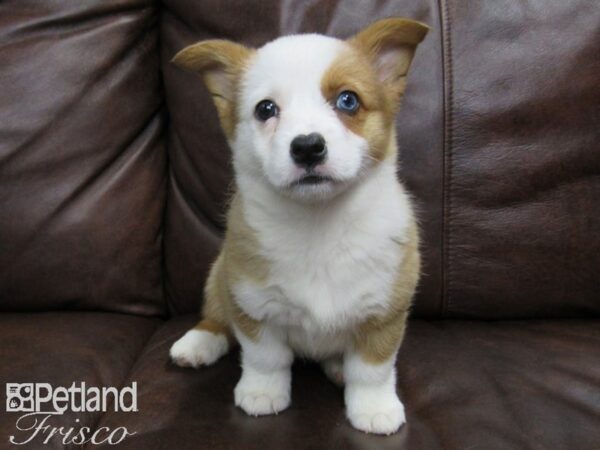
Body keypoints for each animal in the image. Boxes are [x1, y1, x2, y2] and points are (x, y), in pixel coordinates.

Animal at [170, 18, 426, 436]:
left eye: (348, 100)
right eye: (265, 109)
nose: (307, 146)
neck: (318, 223)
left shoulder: (384, 313)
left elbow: (372, 369)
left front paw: (373, 409)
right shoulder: (254, 305)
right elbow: (265, 358)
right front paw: (261, 394)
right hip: (218, 276)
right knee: (216, 317)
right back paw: (197, 345)